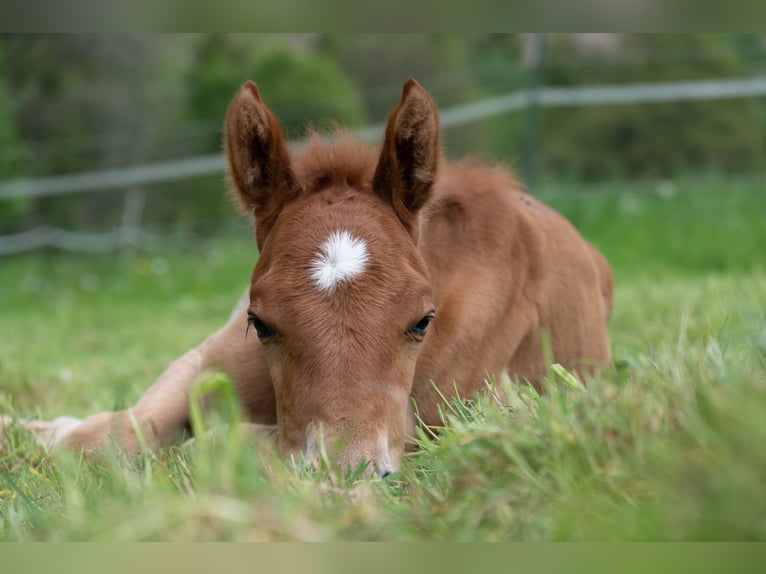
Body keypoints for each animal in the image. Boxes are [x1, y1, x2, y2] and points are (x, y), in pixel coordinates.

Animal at [0, 79, 612, 480]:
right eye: (260, 322)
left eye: (423, 321)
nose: (347, 476)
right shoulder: (204, 358)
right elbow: (114, 432)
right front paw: (26, 431)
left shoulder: (453, 420)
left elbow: (216, 444)